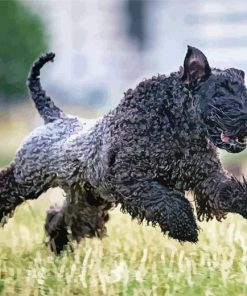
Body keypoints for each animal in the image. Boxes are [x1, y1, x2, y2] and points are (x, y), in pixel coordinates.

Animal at [0, 45, 247, 252]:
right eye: (220, 92)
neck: (172, 122)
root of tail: (54, 117)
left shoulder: (206, 178)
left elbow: (228, 192)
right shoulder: (130, 180)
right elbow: (168, 202)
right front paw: (185, 228)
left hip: (87, 200)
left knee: (60, 218)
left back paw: (59, 247)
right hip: (27, 179)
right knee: (8, 188)